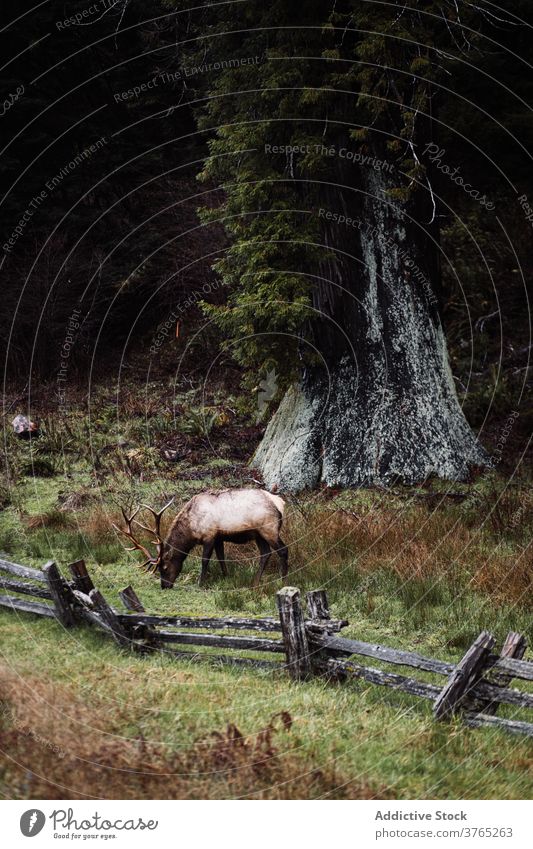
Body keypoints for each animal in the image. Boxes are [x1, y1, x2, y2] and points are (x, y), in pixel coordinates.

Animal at [112, 486, 286, 588]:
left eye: (165, 567)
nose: (165, 586)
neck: (191, 529)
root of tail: (280, 503)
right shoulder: (218, 538)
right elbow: (221, 558)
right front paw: (226, 577)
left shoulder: (209, 536)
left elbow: (205, 560)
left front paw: (200, 583)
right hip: (259, 534)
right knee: (265, 553)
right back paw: (255, 583)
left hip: (269, 529)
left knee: (283, 550)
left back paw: (283, 580)